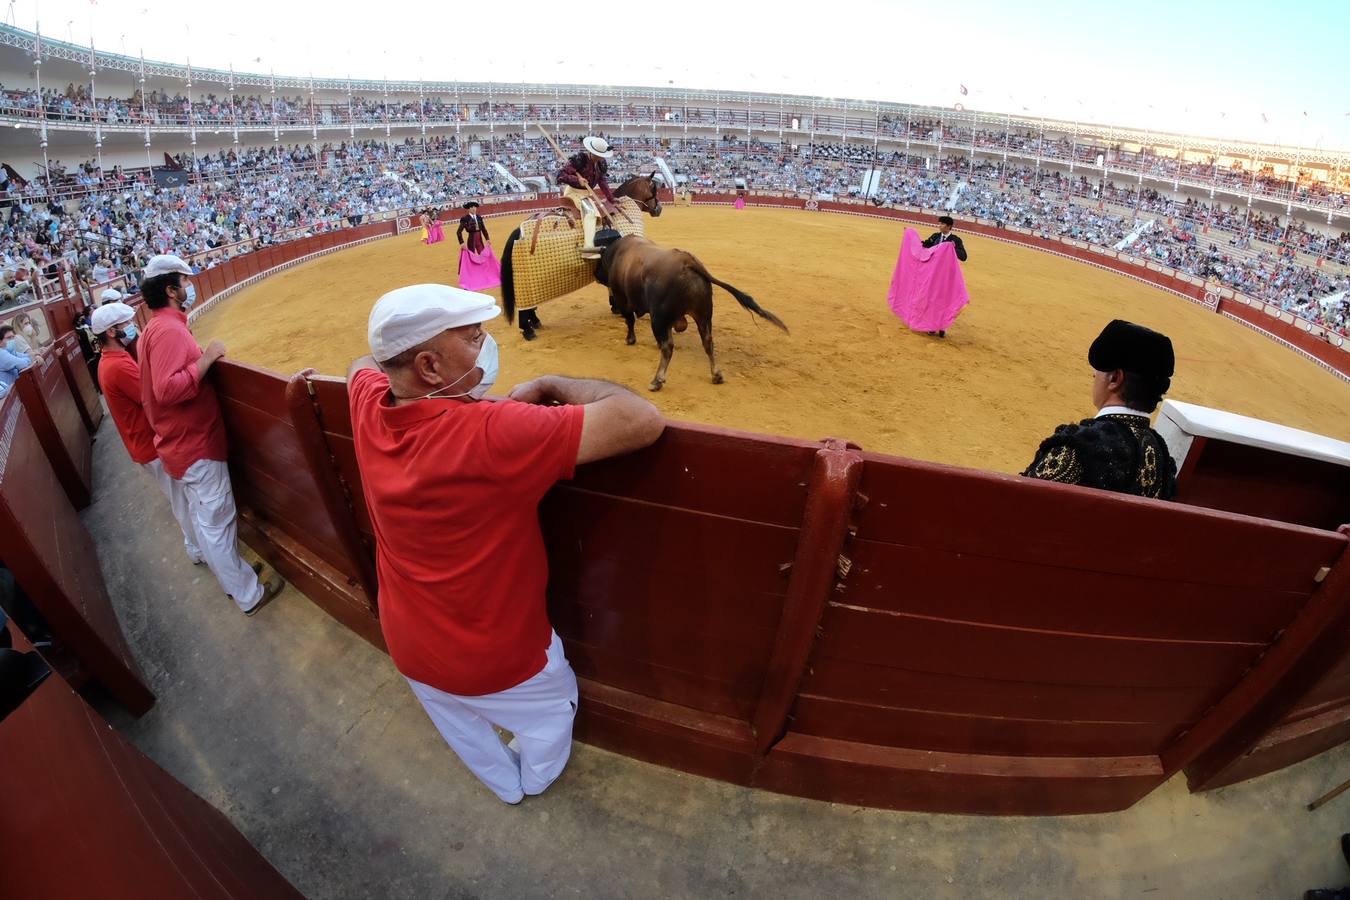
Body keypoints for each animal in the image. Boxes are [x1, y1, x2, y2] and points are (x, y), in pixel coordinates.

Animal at [502, 172, 664, 337]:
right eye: (654, 188)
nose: (659, 208)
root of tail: (519, 229)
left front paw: (615, 307)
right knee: (525, 305)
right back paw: (527, 330)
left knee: (530, 305)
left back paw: (535, 322)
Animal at [596, 232, 788, 391]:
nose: (597, 276)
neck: (617, 253)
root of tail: (688, 262)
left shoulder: (624, 301)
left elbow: (630, 321)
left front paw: (630, 340)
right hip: (704, 315)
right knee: (708, 342)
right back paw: (716, 375)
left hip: (659, 318)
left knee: (668, 347)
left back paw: (657, 380)